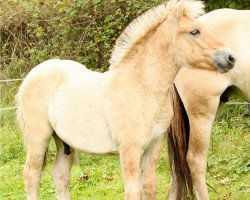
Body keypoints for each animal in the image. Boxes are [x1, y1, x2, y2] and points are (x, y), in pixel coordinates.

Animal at [16, 0, 235, 199]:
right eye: (194, 31)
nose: (231, 58)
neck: (142, 89)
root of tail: (32, 75)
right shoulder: (130, 150)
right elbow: (133, 192)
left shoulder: (153, 147)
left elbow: (149, 188)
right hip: (38, 139)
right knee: (32, 176)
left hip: (63, 141)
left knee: (60, 176)